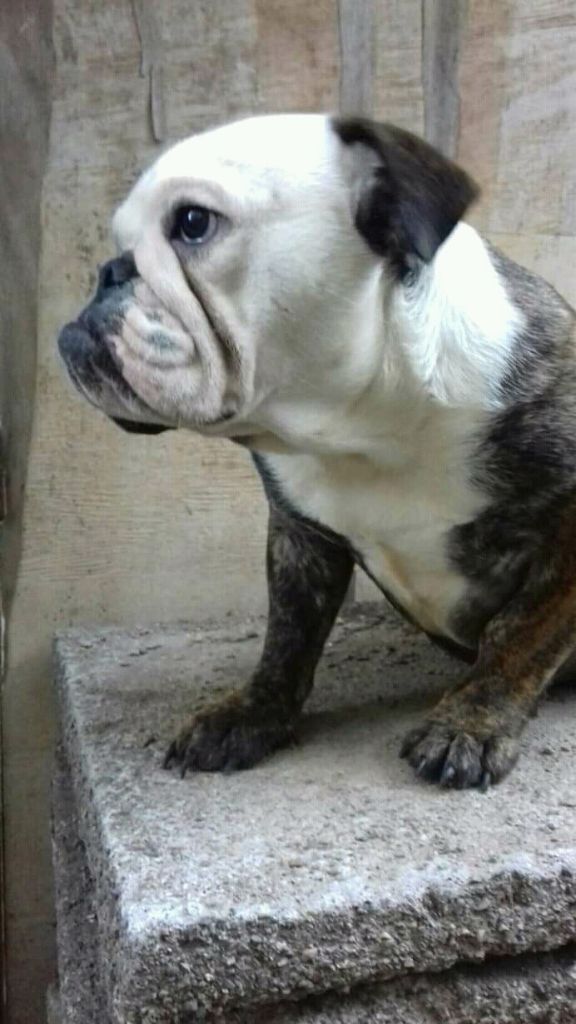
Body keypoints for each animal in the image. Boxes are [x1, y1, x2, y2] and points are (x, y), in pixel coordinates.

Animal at [58, 114, 576, 789]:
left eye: (193, 223)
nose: (110, 269)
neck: (365, 425)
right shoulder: (299, 534)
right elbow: (288, 634)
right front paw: (251, 716)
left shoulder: (569, 533)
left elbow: (520, 633)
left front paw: (468, 723)